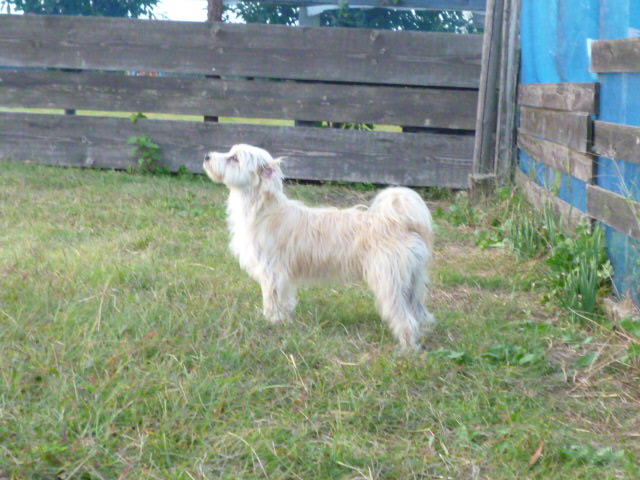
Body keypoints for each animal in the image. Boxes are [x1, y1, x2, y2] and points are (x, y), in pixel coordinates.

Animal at [203, 144, 435, 350]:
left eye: (234, 158)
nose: (206, 156)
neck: (264, 210)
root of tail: (400, 224)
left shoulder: (272, 273)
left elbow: (272, 300)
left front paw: (271, 321)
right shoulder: (283, 277)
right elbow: (285, 300)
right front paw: (284, 320)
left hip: (389, 283)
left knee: (405, 319)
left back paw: (407, 347)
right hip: (411, 284)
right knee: (420, 312)